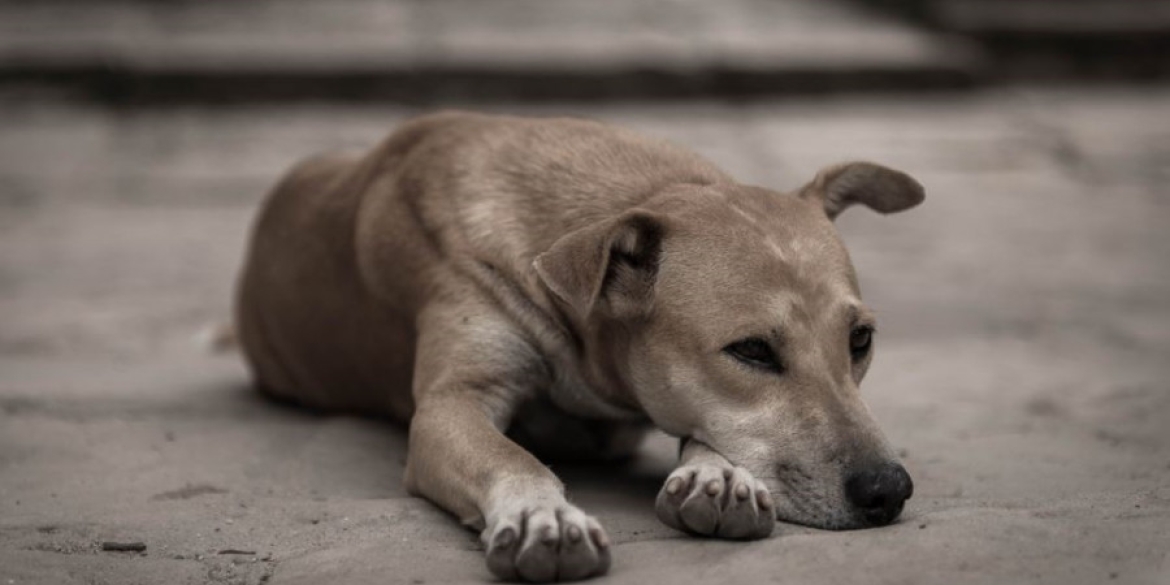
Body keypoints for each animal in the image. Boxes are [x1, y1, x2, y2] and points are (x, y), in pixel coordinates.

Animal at [230, 109, 921, 580]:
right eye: (752, 351)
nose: (888, 490)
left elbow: (705, 429)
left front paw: (718, 474)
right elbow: (507, 455)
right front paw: (543, 514)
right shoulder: (452, 403)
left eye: (860, 340)